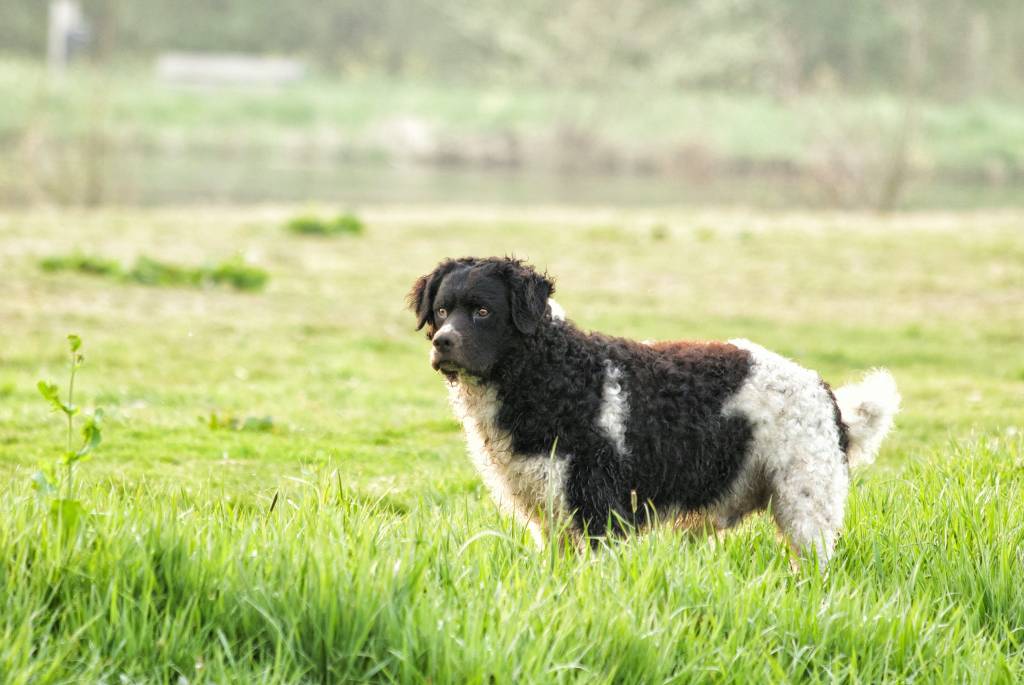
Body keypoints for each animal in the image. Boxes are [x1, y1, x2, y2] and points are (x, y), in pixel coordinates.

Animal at [408, 257, 900, 568]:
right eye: (442, 310)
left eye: (483, 311)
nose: (443, 343)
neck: (550, 371)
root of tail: (826, 394)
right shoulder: (552, 517)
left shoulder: (598, 509)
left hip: (806, 508)